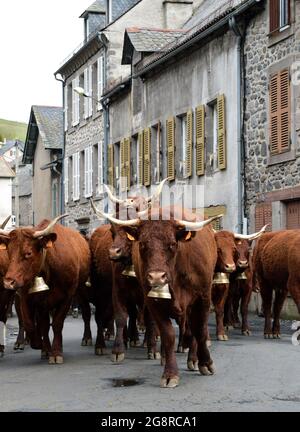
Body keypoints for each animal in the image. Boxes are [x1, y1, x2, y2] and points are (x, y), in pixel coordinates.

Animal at [0, 216, 90, 364]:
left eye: (28, 253)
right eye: (9, 252)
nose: (8, 282)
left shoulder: (67, 297)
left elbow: (57, 323)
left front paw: (56, 352)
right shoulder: (26, 298)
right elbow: (31, 324)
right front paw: (40, 345)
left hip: (81, 291)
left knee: (86, 313)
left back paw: (86, 338)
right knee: (42, 324)